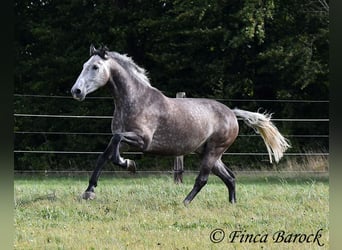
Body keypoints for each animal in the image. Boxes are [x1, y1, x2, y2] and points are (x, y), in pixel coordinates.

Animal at [71, 45, 290, 205]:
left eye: (95, 67)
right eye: (83, 65)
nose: (76, 91)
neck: (135, 100)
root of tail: (232, 113)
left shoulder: (142, 140)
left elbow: (115, 150)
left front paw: (129, 165)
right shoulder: (125, 140)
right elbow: (104, 156)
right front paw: (89, 191)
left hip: (213, 151)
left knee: (203, 179)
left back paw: (185, 202)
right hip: (208, 153)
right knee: (230, 177)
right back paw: (232, 204)